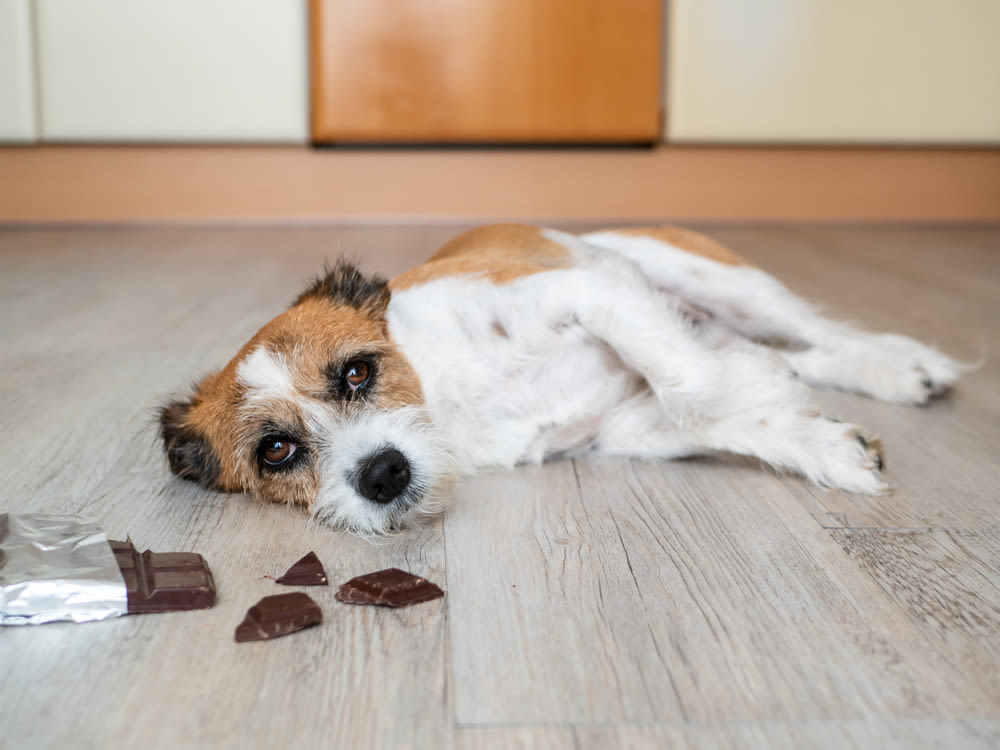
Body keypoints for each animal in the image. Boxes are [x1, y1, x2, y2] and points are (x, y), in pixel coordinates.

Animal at [162, 223, 960, 536]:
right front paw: (821, 443)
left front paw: (756, 391)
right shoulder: (623, 428)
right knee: (799, 351)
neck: (448, 394)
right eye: (276, 451)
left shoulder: (590, 290)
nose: (382, 474)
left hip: (719, 281)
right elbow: (712, 411)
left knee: (821, 333)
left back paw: (906, 366)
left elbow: (691, 383)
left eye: (357, 372)